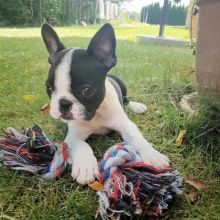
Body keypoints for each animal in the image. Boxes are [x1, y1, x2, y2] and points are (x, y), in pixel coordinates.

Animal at [40, 23, 168, 185]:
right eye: (49, 88)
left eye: (87, 89)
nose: (63, 103)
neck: (96, 113)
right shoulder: (72, 134)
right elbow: (83, 145)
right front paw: (85, 166)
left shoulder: (125, 125)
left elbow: (137, 138)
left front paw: (153, 155)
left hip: (121, 82)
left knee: (126, 98)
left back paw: (136, 106)